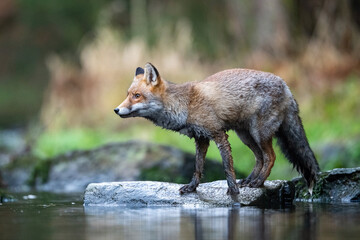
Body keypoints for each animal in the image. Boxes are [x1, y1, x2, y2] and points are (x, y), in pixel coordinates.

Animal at [114, 63, 320, 195]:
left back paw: (258, 182)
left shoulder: (219, 135)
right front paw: (192, 187)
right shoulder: (201, 139)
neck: (185, 105)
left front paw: (232, 191)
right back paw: (249, 180)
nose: (116, 110)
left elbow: (227, 167)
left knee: (271, 157)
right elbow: (198, 167)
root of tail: (285, 85)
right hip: (246, 136)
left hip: (259, 134)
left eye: (137, 96)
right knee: (259, 158)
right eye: (128, 95)